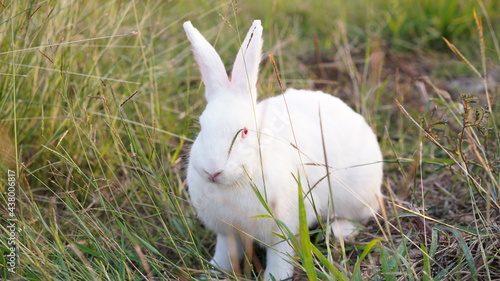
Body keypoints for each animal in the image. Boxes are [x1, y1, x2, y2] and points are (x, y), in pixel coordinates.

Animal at [184, 20, 382, 280]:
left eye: (244, 132)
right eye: (201, 126)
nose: (212, 171)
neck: (235, 183)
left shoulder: (283, 229)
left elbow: (280, 257)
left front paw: (276, 277)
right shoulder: (227, 232)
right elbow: (225, 252)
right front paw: (214, 271)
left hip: (355, 195)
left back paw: (339, 231)